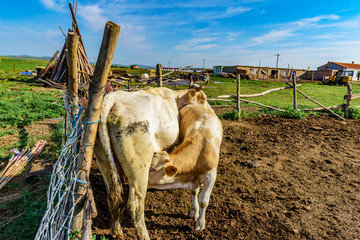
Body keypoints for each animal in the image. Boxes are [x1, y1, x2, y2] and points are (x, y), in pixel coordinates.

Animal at [147, 89, 221, 232]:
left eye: (152, 169)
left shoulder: (211, 175)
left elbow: (204, 200)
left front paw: (200, 224)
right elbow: (194, 192)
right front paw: (193, 211)